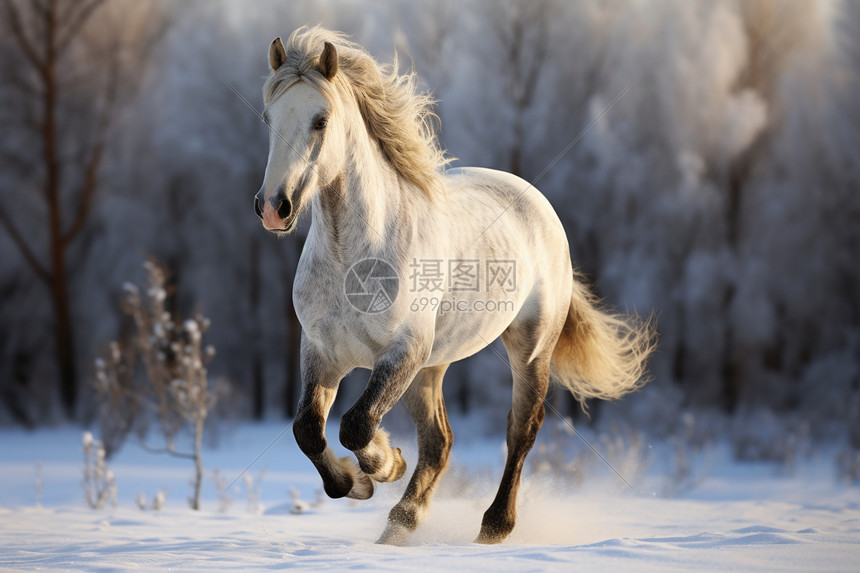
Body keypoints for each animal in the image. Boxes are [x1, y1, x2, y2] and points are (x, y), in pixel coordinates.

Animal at [255, 27, 652, 544]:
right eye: (268, 118)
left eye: (321, 121)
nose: (273, 208)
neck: (353, 258)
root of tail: (538, 202)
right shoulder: (323, 352)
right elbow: (308, 430)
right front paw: (361, 480)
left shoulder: (402, 351)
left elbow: (356, 425)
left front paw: (385, 464)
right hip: (432, 366)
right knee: (439, 441)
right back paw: (399, 525)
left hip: (527, 349)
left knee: (521, 428)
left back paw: (492, 526)